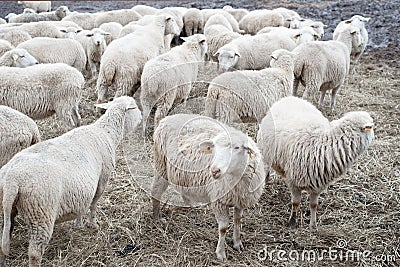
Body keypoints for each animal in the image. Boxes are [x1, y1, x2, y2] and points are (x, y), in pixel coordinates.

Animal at [0, 96, 142, 267]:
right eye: (135, 107)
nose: (142, 117)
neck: (106, 132)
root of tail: (12, 180)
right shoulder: (103, 178)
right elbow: (93, 204)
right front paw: (93, 224)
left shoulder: (81, 190)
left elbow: (83, 205)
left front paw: (78, 223)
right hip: (40, 213)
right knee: (34, 253)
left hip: (6, 208)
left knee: (3, 240)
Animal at [153, 113, 266, 262]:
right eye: (214, 149)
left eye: (237, 148)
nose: (214, 171)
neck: (236, 177)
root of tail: (167, 118)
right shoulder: (219, 201)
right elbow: (223, 228)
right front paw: (221, 253)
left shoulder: (240, 199)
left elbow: (237, 220)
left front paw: (237, 243)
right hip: (161, 165)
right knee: (156, 191)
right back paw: (157, 218)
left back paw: (191, 204)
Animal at [256, 96, 376, 230]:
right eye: (371, 127)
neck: (323, 146)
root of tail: (290, 98)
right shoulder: (294, 181)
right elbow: (295, 203)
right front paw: (292, 221)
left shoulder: (317, 184)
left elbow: (314, 205)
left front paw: (313, 225)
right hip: (265, 151)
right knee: (266, 167)